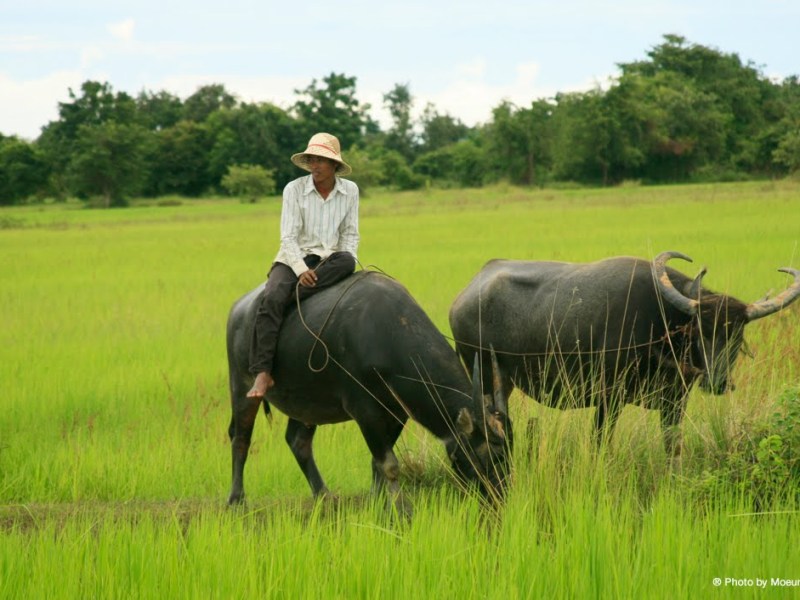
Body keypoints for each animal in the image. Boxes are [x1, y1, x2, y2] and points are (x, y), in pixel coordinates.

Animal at [226, 271, 512, 507]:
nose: (502, 495)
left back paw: (323, 494)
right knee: (240, 438)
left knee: (298, 441)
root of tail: (238, 308)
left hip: (306, 401)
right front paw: (401, 510)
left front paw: (377, 500)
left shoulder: (397, 412)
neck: (386, 335)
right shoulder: (364, 410)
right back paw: (236, 498)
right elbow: (389, 465)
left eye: (510, 454)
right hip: (242, 387)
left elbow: (378, 463)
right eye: (492, 456)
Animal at [449, 251, 800, 455]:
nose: (717, 382)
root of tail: (462, 299)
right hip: (484, 377)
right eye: (701, 329)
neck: (661, 322)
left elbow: (672, 446)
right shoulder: (608, 398)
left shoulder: (675, 401)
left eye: (737, 333)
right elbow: (601, 443)